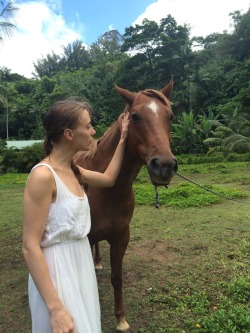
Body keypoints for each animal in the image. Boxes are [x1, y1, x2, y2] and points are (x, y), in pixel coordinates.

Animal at [74, 80, 178, 332]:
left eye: (170, 117)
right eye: (136, 116)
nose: (165, 165)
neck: (107, 188)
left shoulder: (121, 236)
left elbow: (117, 277)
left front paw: (121, 319)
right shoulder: (87, 237)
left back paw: (98, 263)